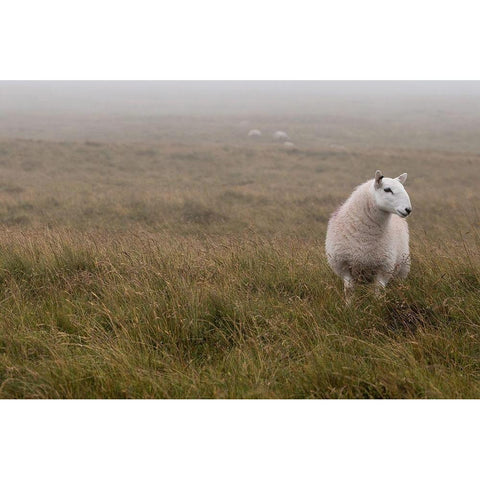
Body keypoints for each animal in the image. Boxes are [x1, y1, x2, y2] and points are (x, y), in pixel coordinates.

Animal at [326, 170, 412, 300]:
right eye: (387, 189)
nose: (408, 209)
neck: (365, 239)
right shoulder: (343, 265)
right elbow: (349, 290)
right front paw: (349, 305)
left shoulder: (384, 268)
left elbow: (378, 291)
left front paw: (376, 304)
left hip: (402, 268)